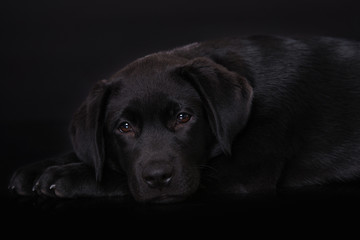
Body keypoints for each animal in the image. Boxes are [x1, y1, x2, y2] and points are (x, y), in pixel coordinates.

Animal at [8, 35, 360, 202]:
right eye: (124, 127)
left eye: (183, 117)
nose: (157, 177)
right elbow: (92, 154)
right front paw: (35, 169)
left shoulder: (239, 173)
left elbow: (119, 175)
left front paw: (66, 176)